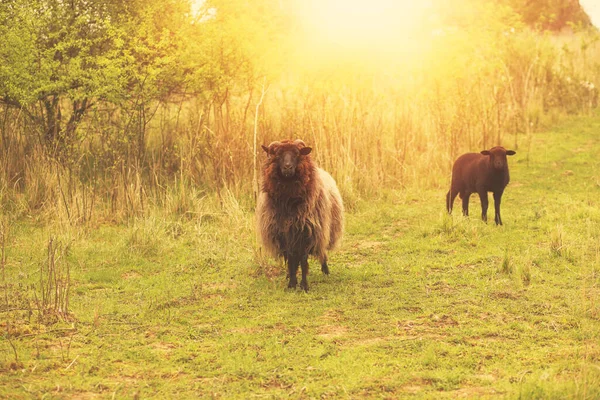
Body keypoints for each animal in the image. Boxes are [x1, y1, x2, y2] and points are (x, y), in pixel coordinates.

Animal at [255, 139, 344, 292]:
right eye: (278, 154)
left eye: (297, 153)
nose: (287, 167)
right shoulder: (285, 234)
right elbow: (291, 260)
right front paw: (292, 283)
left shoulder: (306, 233)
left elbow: (302, 260)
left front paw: (304, 285)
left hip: (323, 231)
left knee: (322, 251)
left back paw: (325, 270)